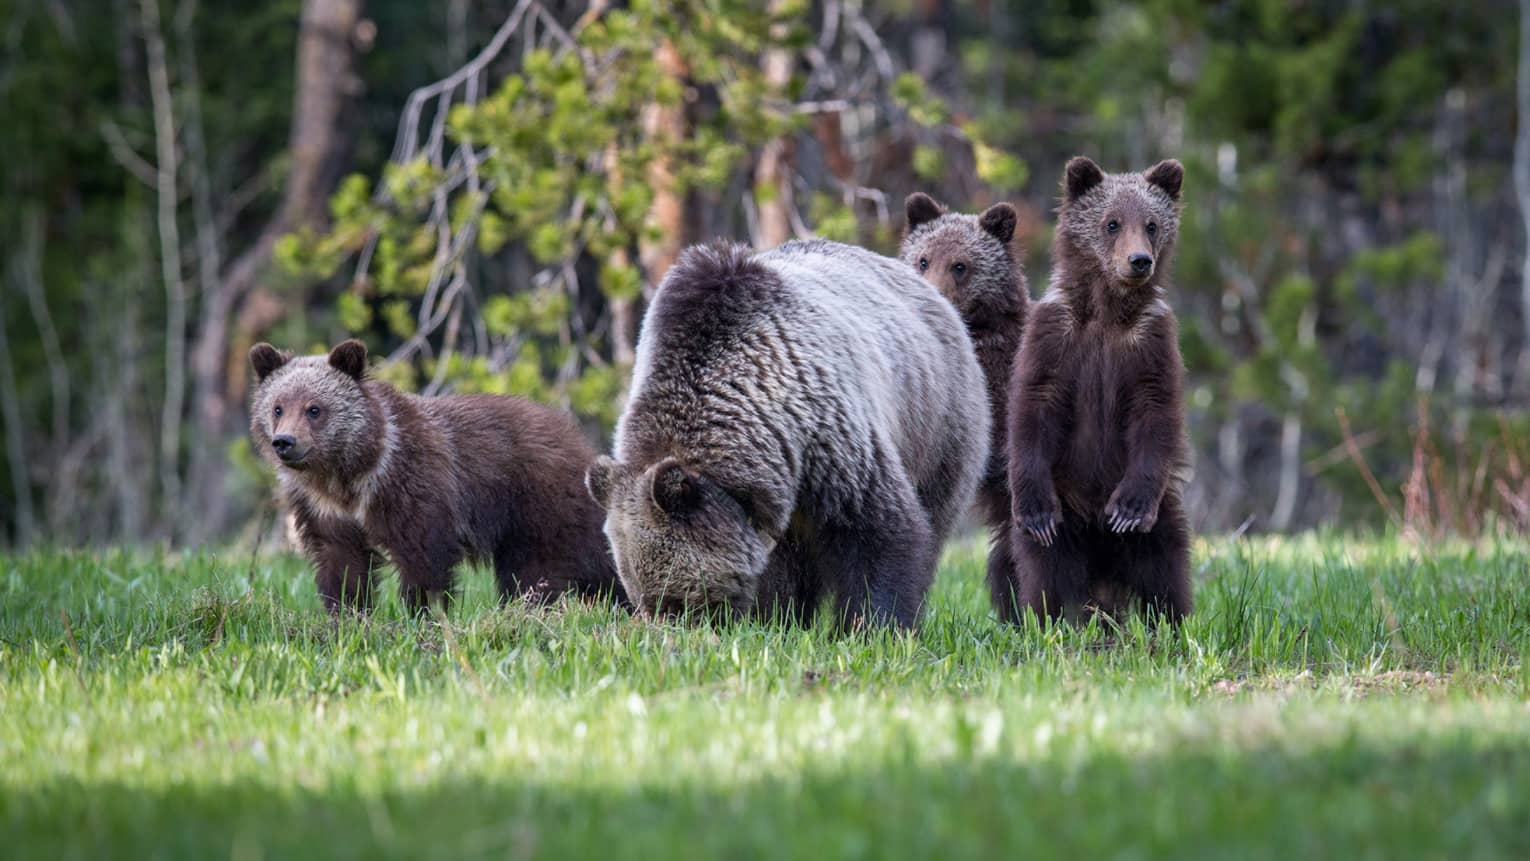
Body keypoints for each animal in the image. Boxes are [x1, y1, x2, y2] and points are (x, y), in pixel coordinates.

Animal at [248, 339, 626, 615]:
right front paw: (346, 614)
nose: (284, 442)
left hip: (538, 502)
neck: (349, 475)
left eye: (314, 409)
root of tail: (576, 438)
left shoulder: (413, 486)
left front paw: (422, 613)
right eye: (277, 407)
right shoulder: (325, 509)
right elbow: (341, 563)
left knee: (547, 566)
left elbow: (423, 558)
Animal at [585, 239, 989, 629]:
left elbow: (879, 531)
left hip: (939, 423)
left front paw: (874, 626)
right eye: (639, 596)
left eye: (676, 598)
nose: (664, 627)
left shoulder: (830, 437)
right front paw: (777, 619)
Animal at [1003, 157, 1194, 625]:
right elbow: (1034, 406)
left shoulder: (1150, 343)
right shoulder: (1056, 337)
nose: (1139, 261)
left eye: (1151, 224)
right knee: (1046, 565)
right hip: (1066, 505)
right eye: (1111, 223)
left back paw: (1173, 620)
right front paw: (1035, 511)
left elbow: (1155, 411)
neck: (1108, 314)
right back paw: (1045, 620)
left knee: (1165, 560)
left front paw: (1128, 509)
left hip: (1163, 511)